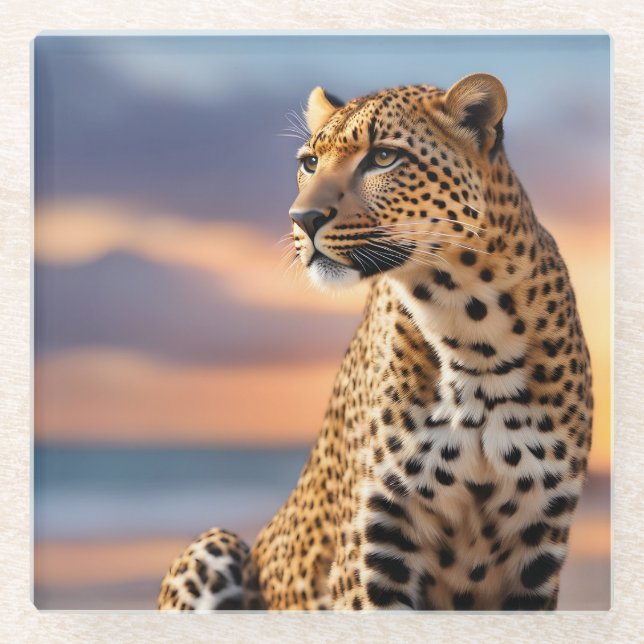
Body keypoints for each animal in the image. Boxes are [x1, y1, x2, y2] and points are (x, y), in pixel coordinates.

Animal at [157, 73, 593, 611]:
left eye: (383, 157)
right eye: (310, 163)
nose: (302, 218)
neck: (473, 332)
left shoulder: (537, 549)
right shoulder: (374, 547)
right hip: (214, 544)